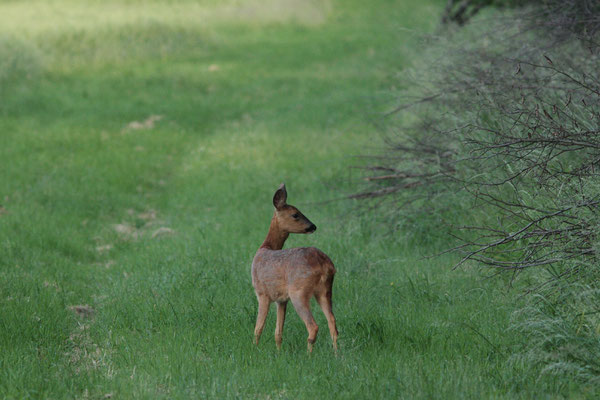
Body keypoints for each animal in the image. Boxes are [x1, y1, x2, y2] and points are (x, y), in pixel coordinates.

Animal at [251, 184, 338, 354]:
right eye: (295, 214)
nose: (313, 226)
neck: (265, 247)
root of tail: (324, 265)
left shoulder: (262, 293)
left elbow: (258, 328)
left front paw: (254, 349)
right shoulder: (281, 299)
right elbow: (278, 332)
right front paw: (279, 353)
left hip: (299, 291)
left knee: (313, 326)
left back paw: (309, 355)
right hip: (325, 290)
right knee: (332, 322)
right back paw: (337, 354)